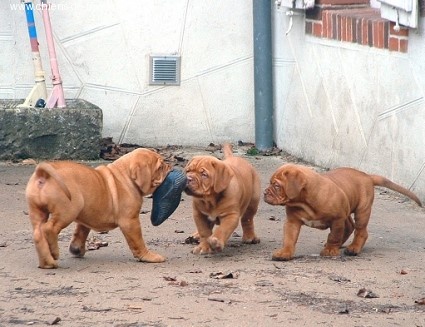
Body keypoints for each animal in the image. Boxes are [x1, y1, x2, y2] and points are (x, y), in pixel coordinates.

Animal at [24, 149, 170, 270]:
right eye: (160, 167)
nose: (169, 165)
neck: (126, 175)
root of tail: (43, 174)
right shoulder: (130, 221)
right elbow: (138, 242)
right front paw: (148, 256)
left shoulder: (86, 215)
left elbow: (81, 231)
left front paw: (76, 249)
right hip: (68, 211)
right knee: (49, 228)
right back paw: (54, 252)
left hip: (37, 211)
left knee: (38, 234)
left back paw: (47, 263)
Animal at [264, 165, 422, 262]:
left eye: (276, 186)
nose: (265, 192)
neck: (304, 202)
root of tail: (367, 176)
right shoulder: (292, 222)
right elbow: (289, 238)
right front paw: (285, 252)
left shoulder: (337, 219)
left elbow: (334, 235)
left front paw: (330, 250)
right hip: (347, 210)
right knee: (350, 226)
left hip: (362, 211)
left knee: (360, 231)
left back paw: (353, 248)